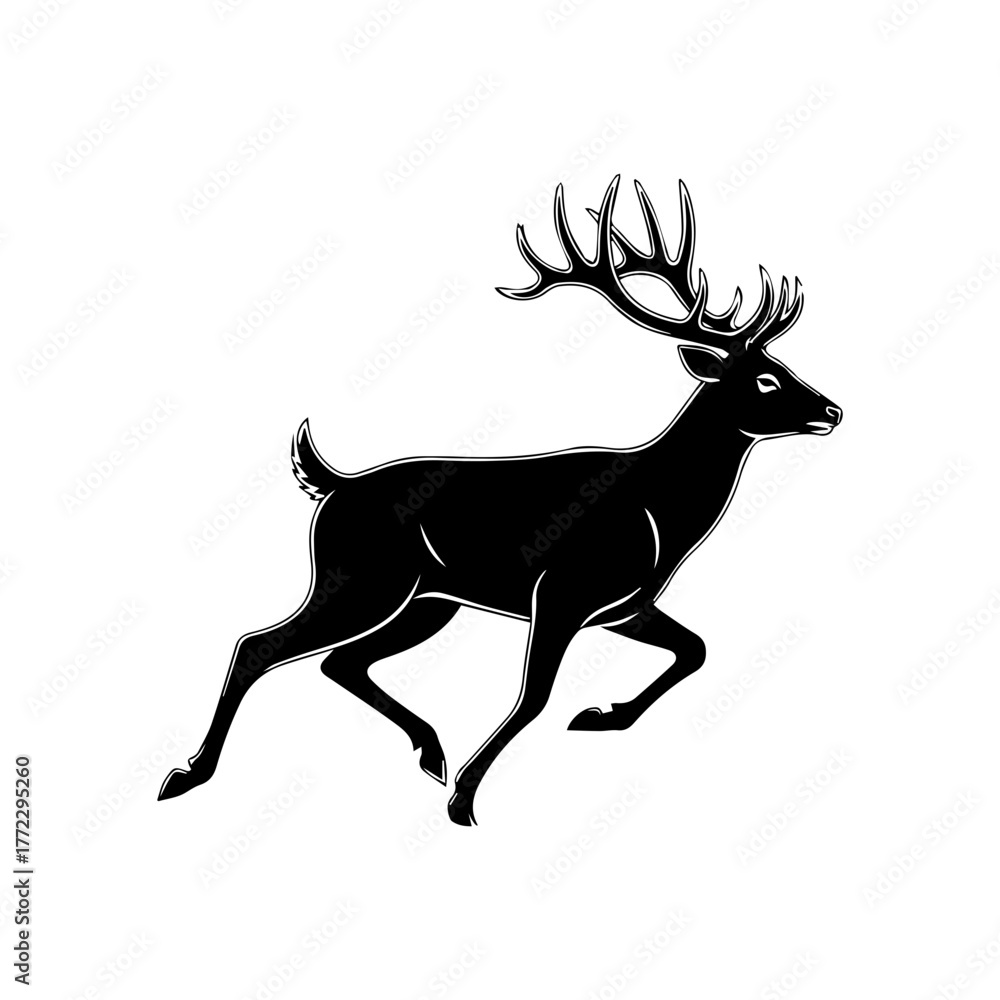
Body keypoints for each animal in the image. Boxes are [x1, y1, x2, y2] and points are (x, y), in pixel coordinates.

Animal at [158, 176, 842, 826]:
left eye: (784, 365)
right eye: (765, 379)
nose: (832, 410)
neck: (662, 511)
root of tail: (334, 485)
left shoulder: (623, 604)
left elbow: (695, 649)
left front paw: (600, 716)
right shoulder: (563, 590)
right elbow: (534, 696)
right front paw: (465, 799)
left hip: (427, 600)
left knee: (341, 663)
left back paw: (429, 751)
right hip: (362, 579)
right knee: (258, 645)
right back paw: (187, 774)